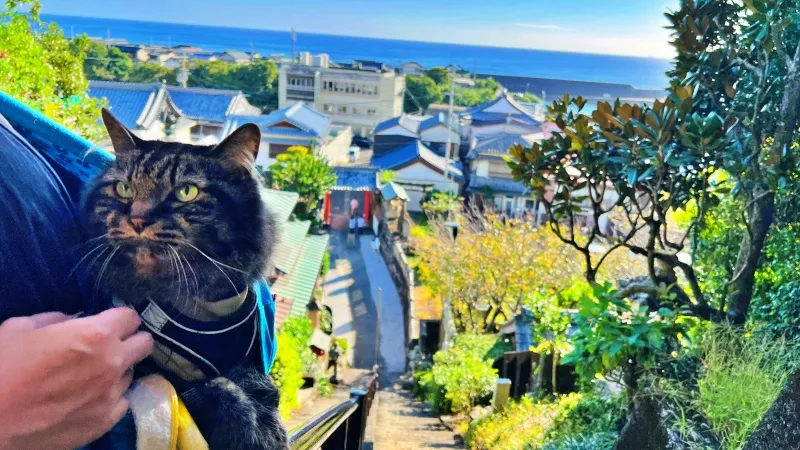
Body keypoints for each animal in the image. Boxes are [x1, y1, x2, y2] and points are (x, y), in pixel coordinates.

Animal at [78, 109, 290, 450]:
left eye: (186, 192)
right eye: (124, 188)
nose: (137, 220)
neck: (201, 306)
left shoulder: (249, 360)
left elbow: (260, 388)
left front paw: (269, 430)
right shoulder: (157, 372)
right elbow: (219, 390)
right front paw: (248, 430)